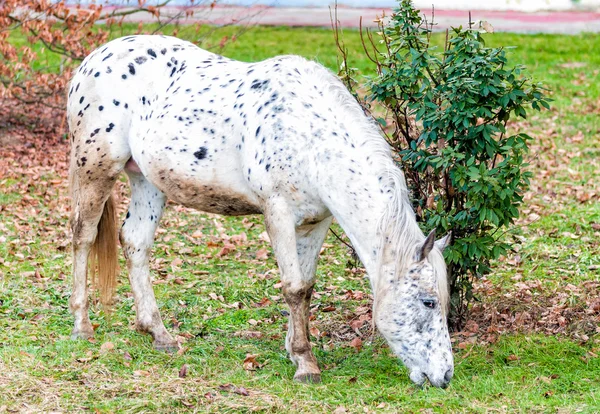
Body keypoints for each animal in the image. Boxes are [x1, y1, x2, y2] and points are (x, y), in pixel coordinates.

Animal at [67, 35, 450, 388]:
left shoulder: (316, 222)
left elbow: (307, 288)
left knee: (135, 243)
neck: (310, 138)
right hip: (97, 170)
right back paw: (82, 326)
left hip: (147, 182)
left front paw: (295, 348)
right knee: (83, 237)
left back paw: (158, 332)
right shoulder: (277, 213)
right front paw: (305, 364)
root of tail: (92, 61)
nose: (445, 376)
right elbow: (293, 287)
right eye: (429, 302)